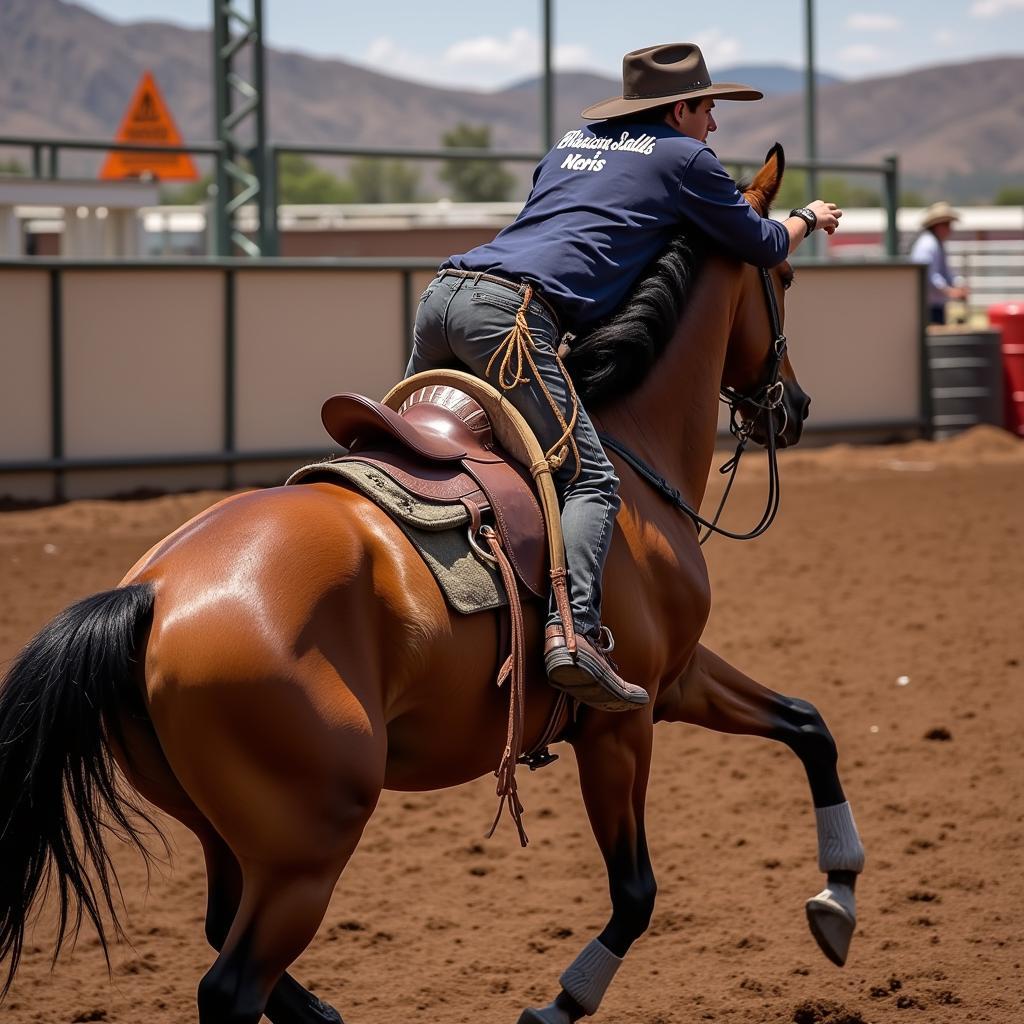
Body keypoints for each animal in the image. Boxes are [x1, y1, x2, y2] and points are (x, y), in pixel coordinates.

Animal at [0, 146, 864, 1024]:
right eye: (786, 273)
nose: (794, 406)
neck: (629, 460)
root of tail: (151, 595)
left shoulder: (673, 680)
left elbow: (808, 724)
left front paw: (838, 895)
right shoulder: (622, 723)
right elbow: (635, 893)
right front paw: (560, 1002)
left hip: (228, 835)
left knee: (221, 932)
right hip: (310, 844)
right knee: (231, 983)